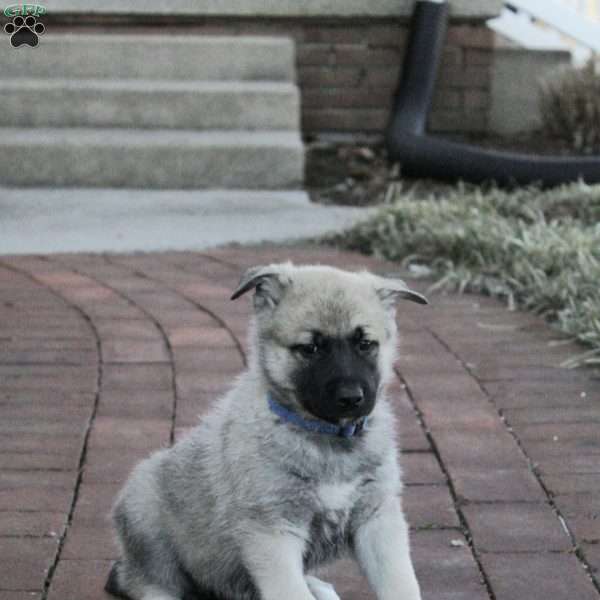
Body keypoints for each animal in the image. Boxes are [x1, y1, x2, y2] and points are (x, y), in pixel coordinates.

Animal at [106, 262, 426, 600]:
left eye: (365, 344)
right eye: (310, 348)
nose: (351, 398)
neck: (326, 438)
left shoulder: (378, 518)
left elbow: (401, 584)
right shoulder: (273, 529)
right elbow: (291, 592)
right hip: (144, 515)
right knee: (147, 581)